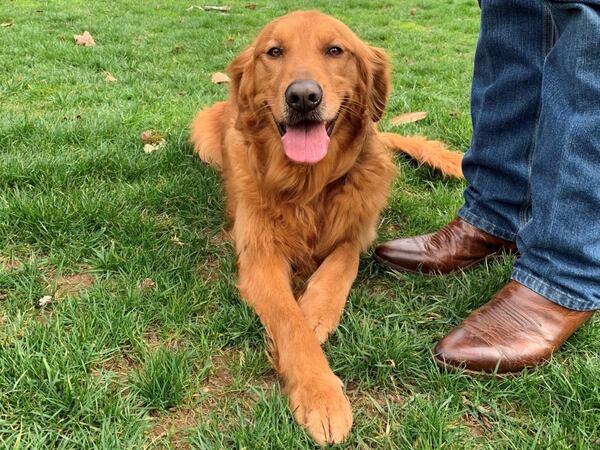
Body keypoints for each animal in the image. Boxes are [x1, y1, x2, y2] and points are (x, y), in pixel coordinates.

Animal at [190, 11, 462, 446]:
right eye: (274, 52)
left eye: (335, 50)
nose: (303, 97)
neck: (309, 185)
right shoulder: (260, 256)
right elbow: (290, 322)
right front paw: (320, 395)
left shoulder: (357, 233)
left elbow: (340, 266)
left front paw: (316, 311)